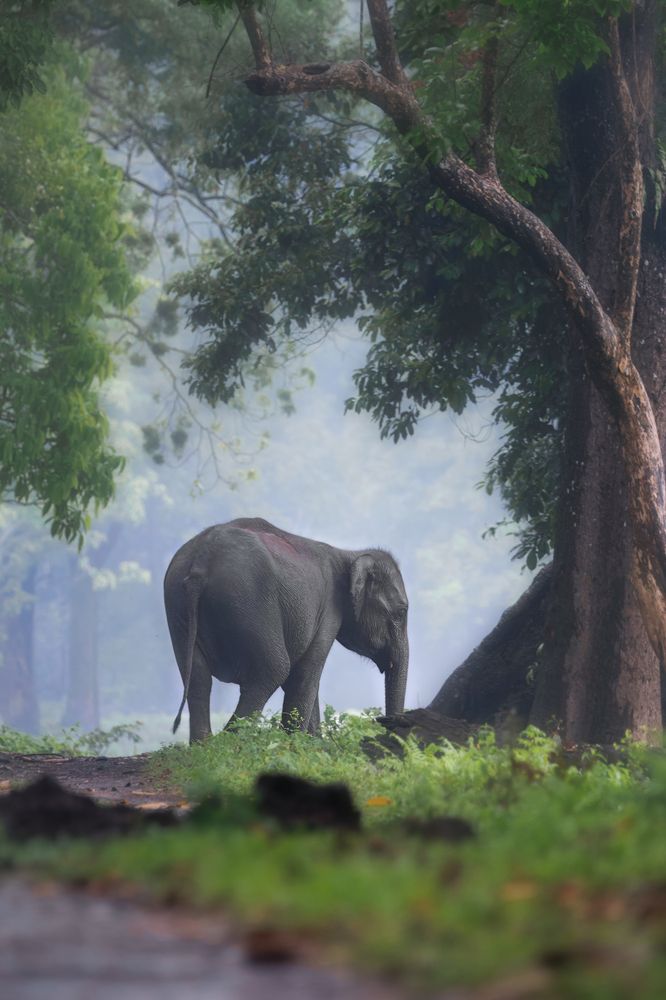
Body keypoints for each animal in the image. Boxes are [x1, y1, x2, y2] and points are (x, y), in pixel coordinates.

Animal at [164, 517, 409, 742]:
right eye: (401, 612)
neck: (348, 555)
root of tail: (202, 560)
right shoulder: (328, 611)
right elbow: (304, 673)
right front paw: (297, 746)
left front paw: (313, 744)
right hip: (249, 602)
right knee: (274, 669)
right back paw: (228, 743)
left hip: (178, 604)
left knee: (198, 678)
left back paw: (202, 745)